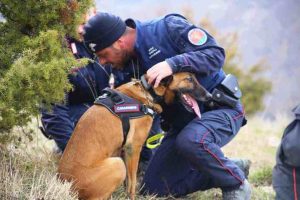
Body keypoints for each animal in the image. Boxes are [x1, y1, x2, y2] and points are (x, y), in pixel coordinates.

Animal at [56, 72, 211, 200]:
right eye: (189, 79)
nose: (210, 96)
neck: (147, 92)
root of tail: (66, 183)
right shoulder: (133, 148)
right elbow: (132, 183)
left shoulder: (124, 150)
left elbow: (127, 183)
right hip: (117, 164)